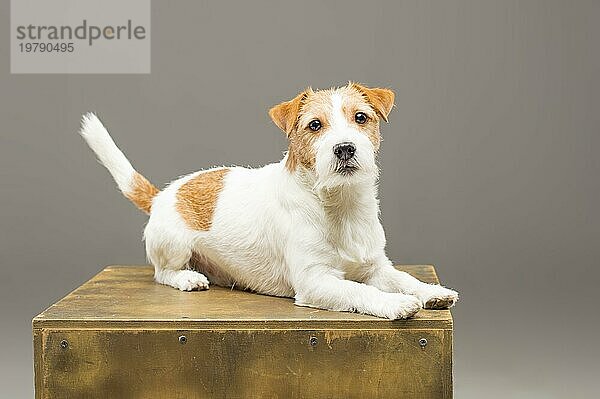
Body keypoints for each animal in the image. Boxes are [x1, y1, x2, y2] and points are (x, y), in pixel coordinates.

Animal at [78, 83, 454, 320]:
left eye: (361, 118)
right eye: (314, 125)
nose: (345, 148)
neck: (339, 204)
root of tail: (162, 195)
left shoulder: (376, 267)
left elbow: (403, 278)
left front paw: (429, 291)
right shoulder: (315, 282)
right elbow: (359, 291)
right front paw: (395, 303)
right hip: (173, 244)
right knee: (162, 273)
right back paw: (187, 278)